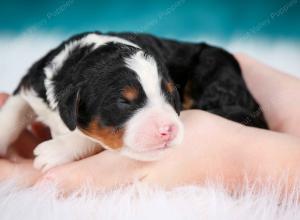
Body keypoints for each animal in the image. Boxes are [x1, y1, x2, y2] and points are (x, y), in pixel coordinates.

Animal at [0, 31, 266, 172]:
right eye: (124, 102)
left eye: (171, 95)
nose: (167, 129)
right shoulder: (31, 84)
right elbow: (12, 112)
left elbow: (88, 138)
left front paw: (54, 151)